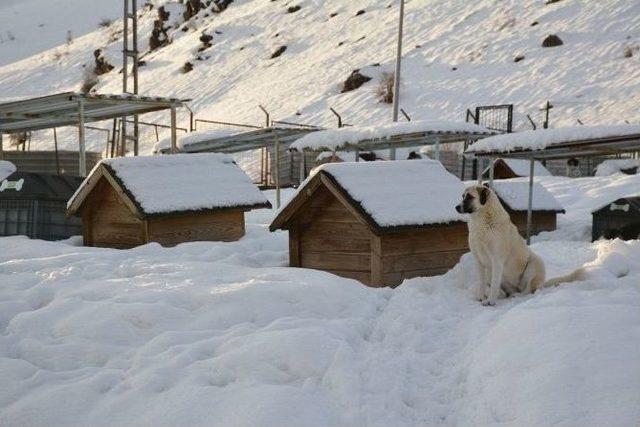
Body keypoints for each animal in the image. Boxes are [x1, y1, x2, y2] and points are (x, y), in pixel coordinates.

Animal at [456, 186, 584, 306]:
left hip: (534, 263)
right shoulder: (479, 260)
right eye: (463, 196)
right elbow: (482, 283)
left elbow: (494, 284)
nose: (456, 207)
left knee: (528, 290)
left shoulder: (497, 260)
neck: (482, 223)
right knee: (504, 291)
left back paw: (516, 295)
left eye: (470, 197)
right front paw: (481, 298)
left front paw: (490, 301)